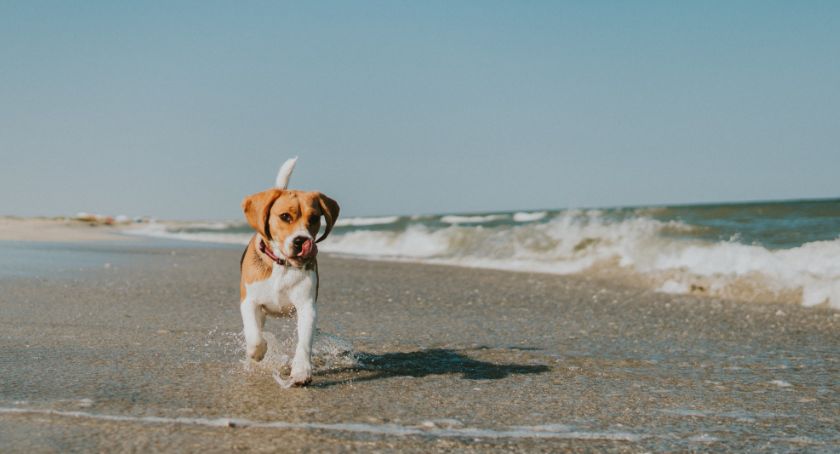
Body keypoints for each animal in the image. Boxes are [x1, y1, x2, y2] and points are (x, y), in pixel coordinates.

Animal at [240, 157, 338, 386]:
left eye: (314, 218)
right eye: (285, 216)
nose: (302, 241)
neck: (282, 265)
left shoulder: (307, 307)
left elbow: (304, 342)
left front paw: (301, 371)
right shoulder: (248, 302)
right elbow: (255, 336)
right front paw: (257, 352)